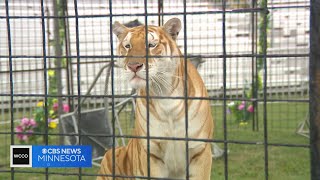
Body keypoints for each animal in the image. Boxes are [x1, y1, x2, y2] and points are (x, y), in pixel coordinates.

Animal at [96, 17, 214, 179]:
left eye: (151, 45)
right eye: (127, 46)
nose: (133, 66)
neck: (165, 95)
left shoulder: (200, 150)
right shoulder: (151, 153)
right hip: (112, 153)